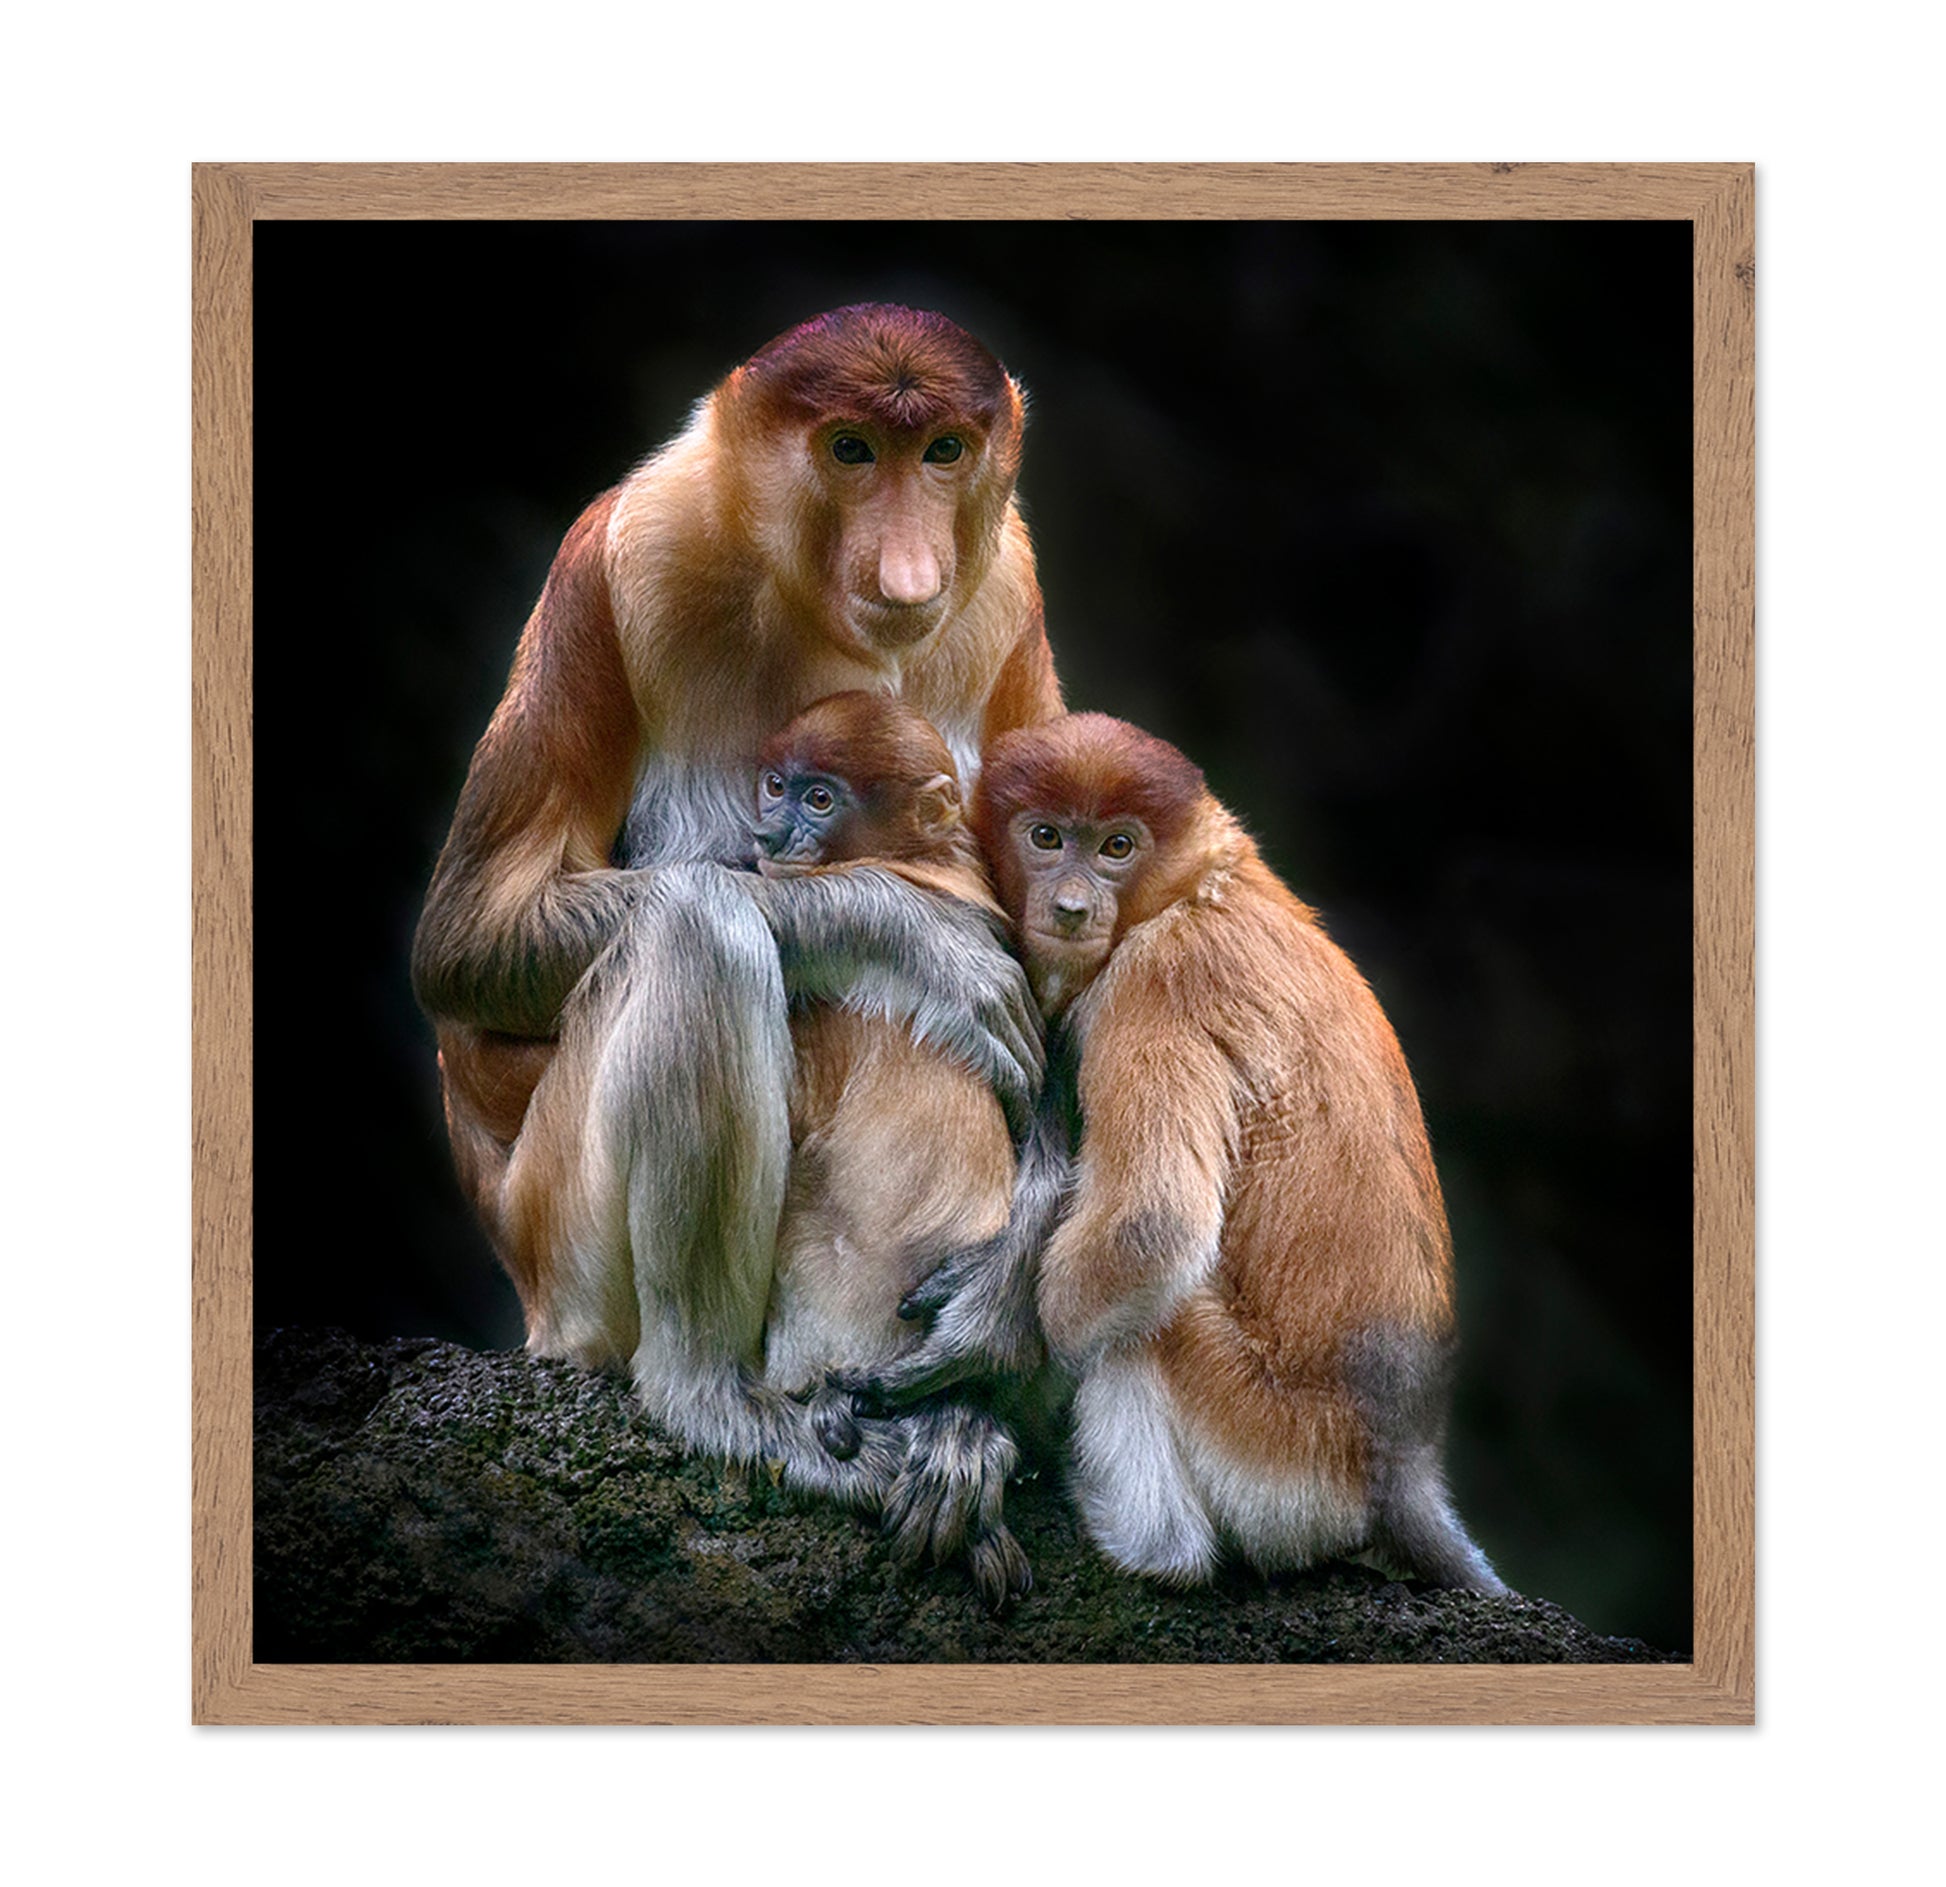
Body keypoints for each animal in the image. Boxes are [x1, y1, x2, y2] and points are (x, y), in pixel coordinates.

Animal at [876, 711, 1506, 1593]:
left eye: (1117, 845)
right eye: (1046, 836)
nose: (1072, 907)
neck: (1198, 887)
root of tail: (1399, 1462)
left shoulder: (1158, 979)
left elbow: (1150, 1228)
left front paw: (987, 1377)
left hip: (1274, 1453)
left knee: (1145, 1322)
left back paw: (1142, 1539)